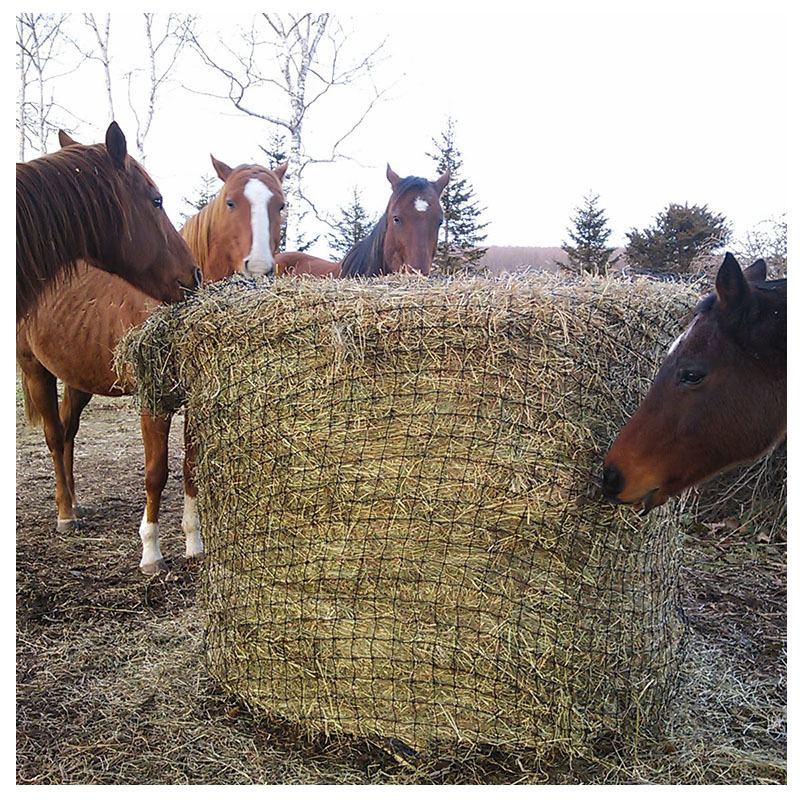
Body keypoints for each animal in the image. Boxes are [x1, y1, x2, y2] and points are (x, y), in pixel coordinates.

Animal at [17, 153, 288, 572]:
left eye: (281, 205)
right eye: (231, 202)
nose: (258, 269)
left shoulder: (194, 400)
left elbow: (190, 467)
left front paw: (194, 542)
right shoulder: (153, 402)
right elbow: (156, 472)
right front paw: (151, 552)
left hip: (78, 380)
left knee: (67, 432)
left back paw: (75, 504)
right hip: (36, 372)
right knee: (53, 436)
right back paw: (64, 513)